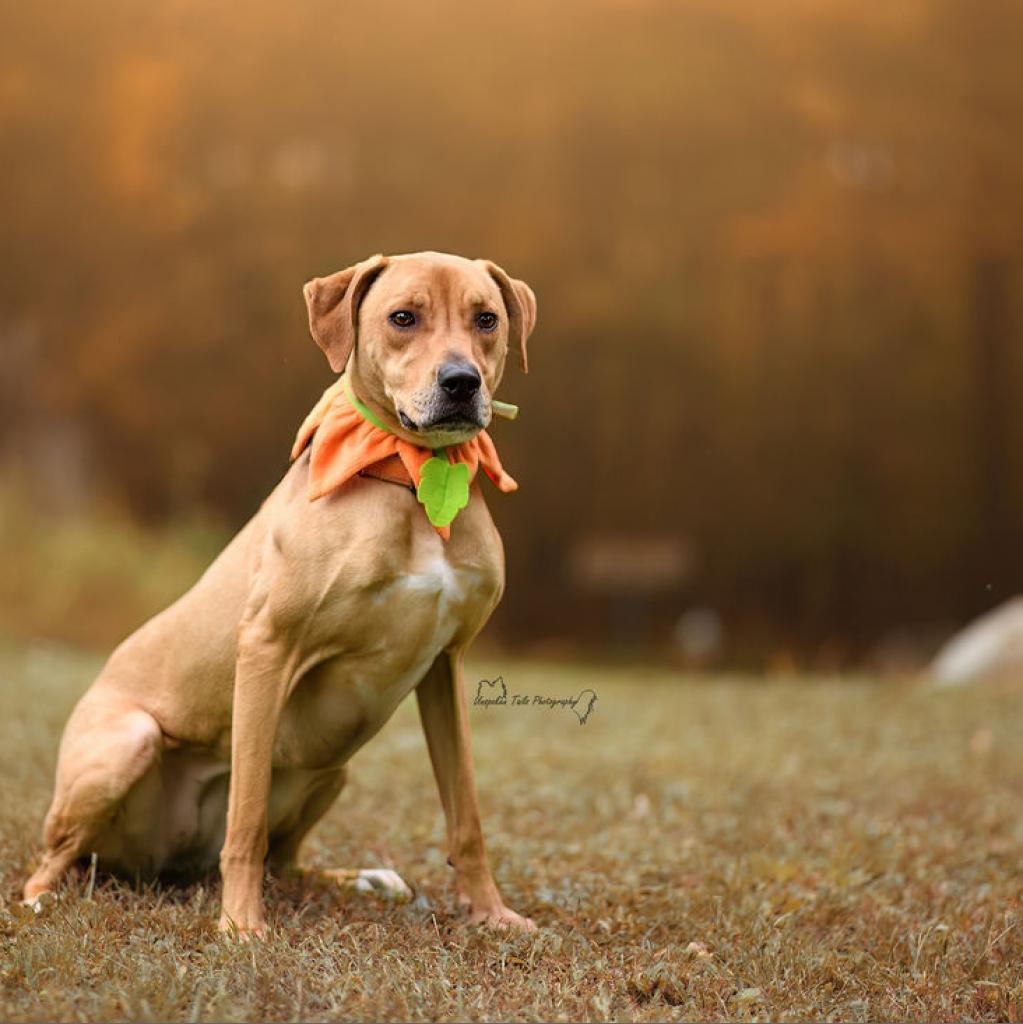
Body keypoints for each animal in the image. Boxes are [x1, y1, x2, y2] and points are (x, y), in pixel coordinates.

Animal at [24, 249, 540, 937]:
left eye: (487, 319)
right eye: (403, 317)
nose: (461, 382)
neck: (408, 475)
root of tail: (161, 863)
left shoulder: (445, 666)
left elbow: (467, 813)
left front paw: (491, 913)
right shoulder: (269, 647)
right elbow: (245, 821)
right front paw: (241, 926)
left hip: (333, 769)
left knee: (289, 862)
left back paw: (362, 879)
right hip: (123, 746)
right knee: (58, 858)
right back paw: (41, 898)